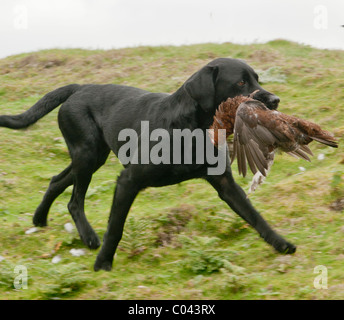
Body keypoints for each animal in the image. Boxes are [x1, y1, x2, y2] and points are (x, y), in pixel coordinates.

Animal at [0, 58, 296, 272]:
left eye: (257, 78)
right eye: (240, 82)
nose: (275, 101)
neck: (191, 128)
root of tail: (79, 88)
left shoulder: (225, 183)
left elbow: (255, 216)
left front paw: (281, 243)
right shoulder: (128, 181)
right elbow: (115, 228)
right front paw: (103, 264)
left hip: (91, 156)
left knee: (57, 180)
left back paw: (39, 218)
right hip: (87, 154)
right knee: (75, 200)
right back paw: (89, 237)